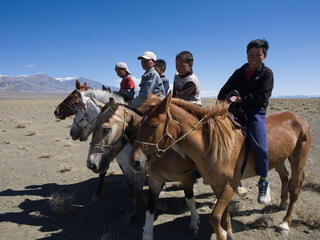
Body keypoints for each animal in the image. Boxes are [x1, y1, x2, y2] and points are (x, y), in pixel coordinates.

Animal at [129, 92, 310, 240]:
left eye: (154, 125)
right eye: (138, 124)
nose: (135, 161)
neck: (210, 144)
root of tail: (298, 119)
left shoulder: (230, 184)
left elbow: (214, 217)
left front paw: (222, 234)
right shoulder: (217, 185)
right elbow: (224, 214)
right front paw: (228, 233)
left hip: (298, 159)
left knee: (295, 188)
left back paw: (285, 223)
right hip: (279, 160)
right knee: (284, 176)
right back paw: (282, 202)